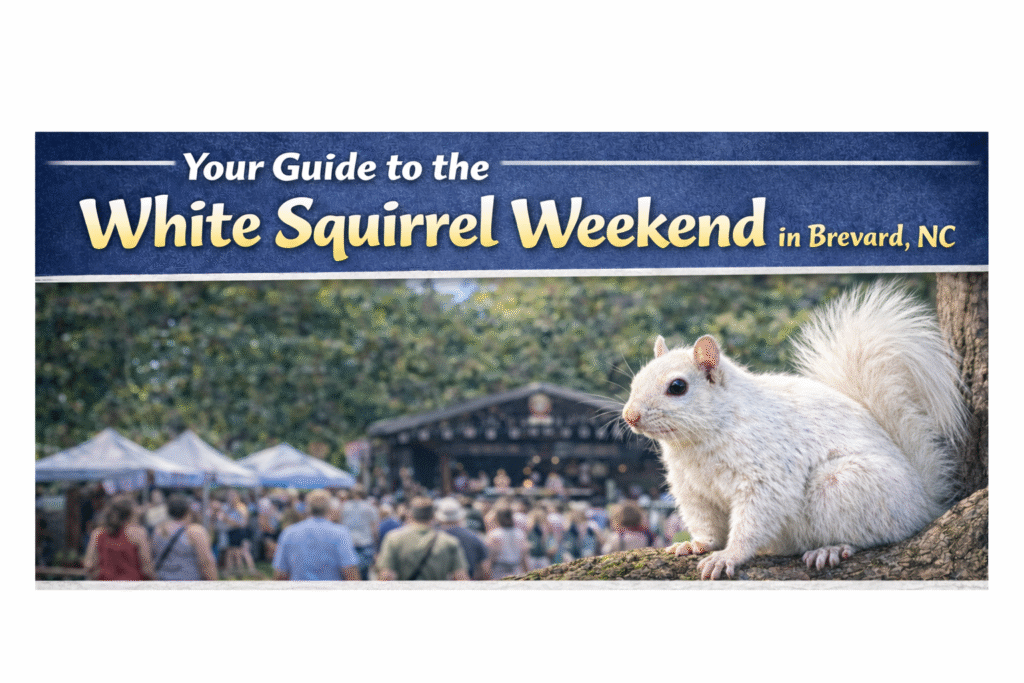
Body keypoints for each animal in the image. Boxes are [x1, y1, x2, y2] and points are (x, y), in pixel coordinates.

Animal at [621, 281, 967, 580]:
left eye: (677, 387)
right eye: (635, 379)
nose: (630, 416)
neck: (696, 443)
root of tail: (925, 503)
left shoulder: (765, 474)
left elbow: (754, 519)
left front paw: (729, 555)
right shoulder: (693, 490)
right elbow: (706, 525)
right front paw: (696, 544)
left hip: (843, 487)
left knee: (877, 535)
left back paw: (831, 549)